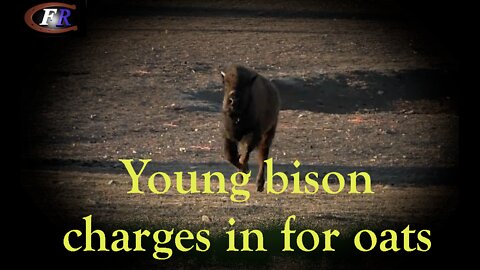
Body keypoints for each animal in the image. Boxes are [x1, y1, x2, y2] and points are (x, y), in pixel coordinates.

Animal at [221, 64, 282, 192]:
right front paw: (242, 172)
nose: (233, 100)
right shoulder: (229, 136)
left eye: (245, 85)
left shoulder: (253, 135)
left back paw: (259, 185)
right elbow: (230, 156)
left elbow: (244, 154)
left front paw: (245, 169)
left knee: (262, 158)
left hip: (268, 134)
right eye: (226, 83)